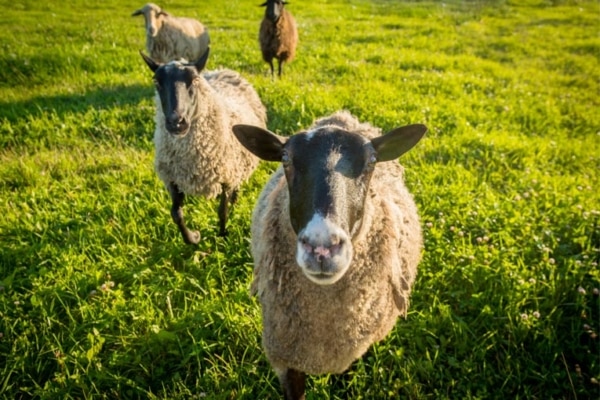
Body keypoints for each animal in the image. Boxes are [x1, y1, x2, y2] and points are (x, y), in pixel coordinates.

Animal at [141, 48, 268, 245]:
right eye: (157, 82)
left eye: (194, 80)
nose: (176, 123)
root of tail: (223, 70)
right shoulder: (173, 179)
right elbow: (176, 214)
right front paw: (193, 238)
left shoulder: (225, 176)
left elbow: (222, 212)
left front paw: (222, 236)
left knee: (236, 187)